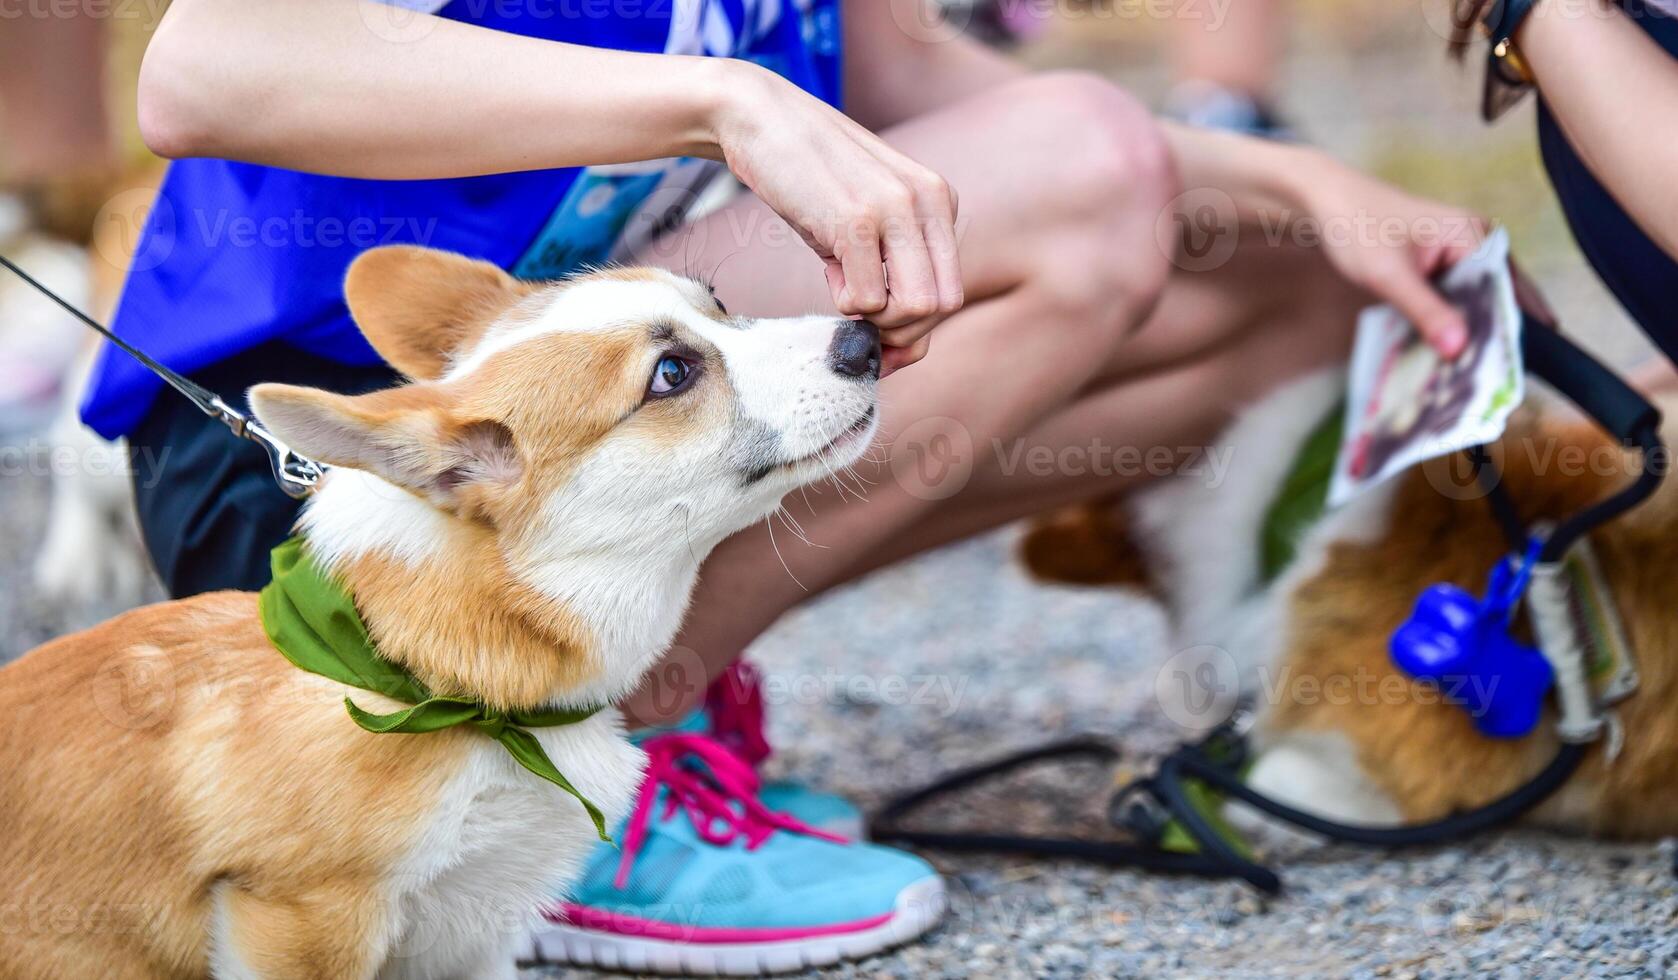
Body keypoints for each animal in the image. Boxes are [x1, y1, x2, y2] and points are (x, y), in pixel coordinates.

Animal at [0, 246, 885, 980]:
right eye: (671, 373)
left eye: (719, 303)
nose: (866, 342)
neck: (422, 682)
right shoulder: (301, 917)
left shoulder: (479, 934)